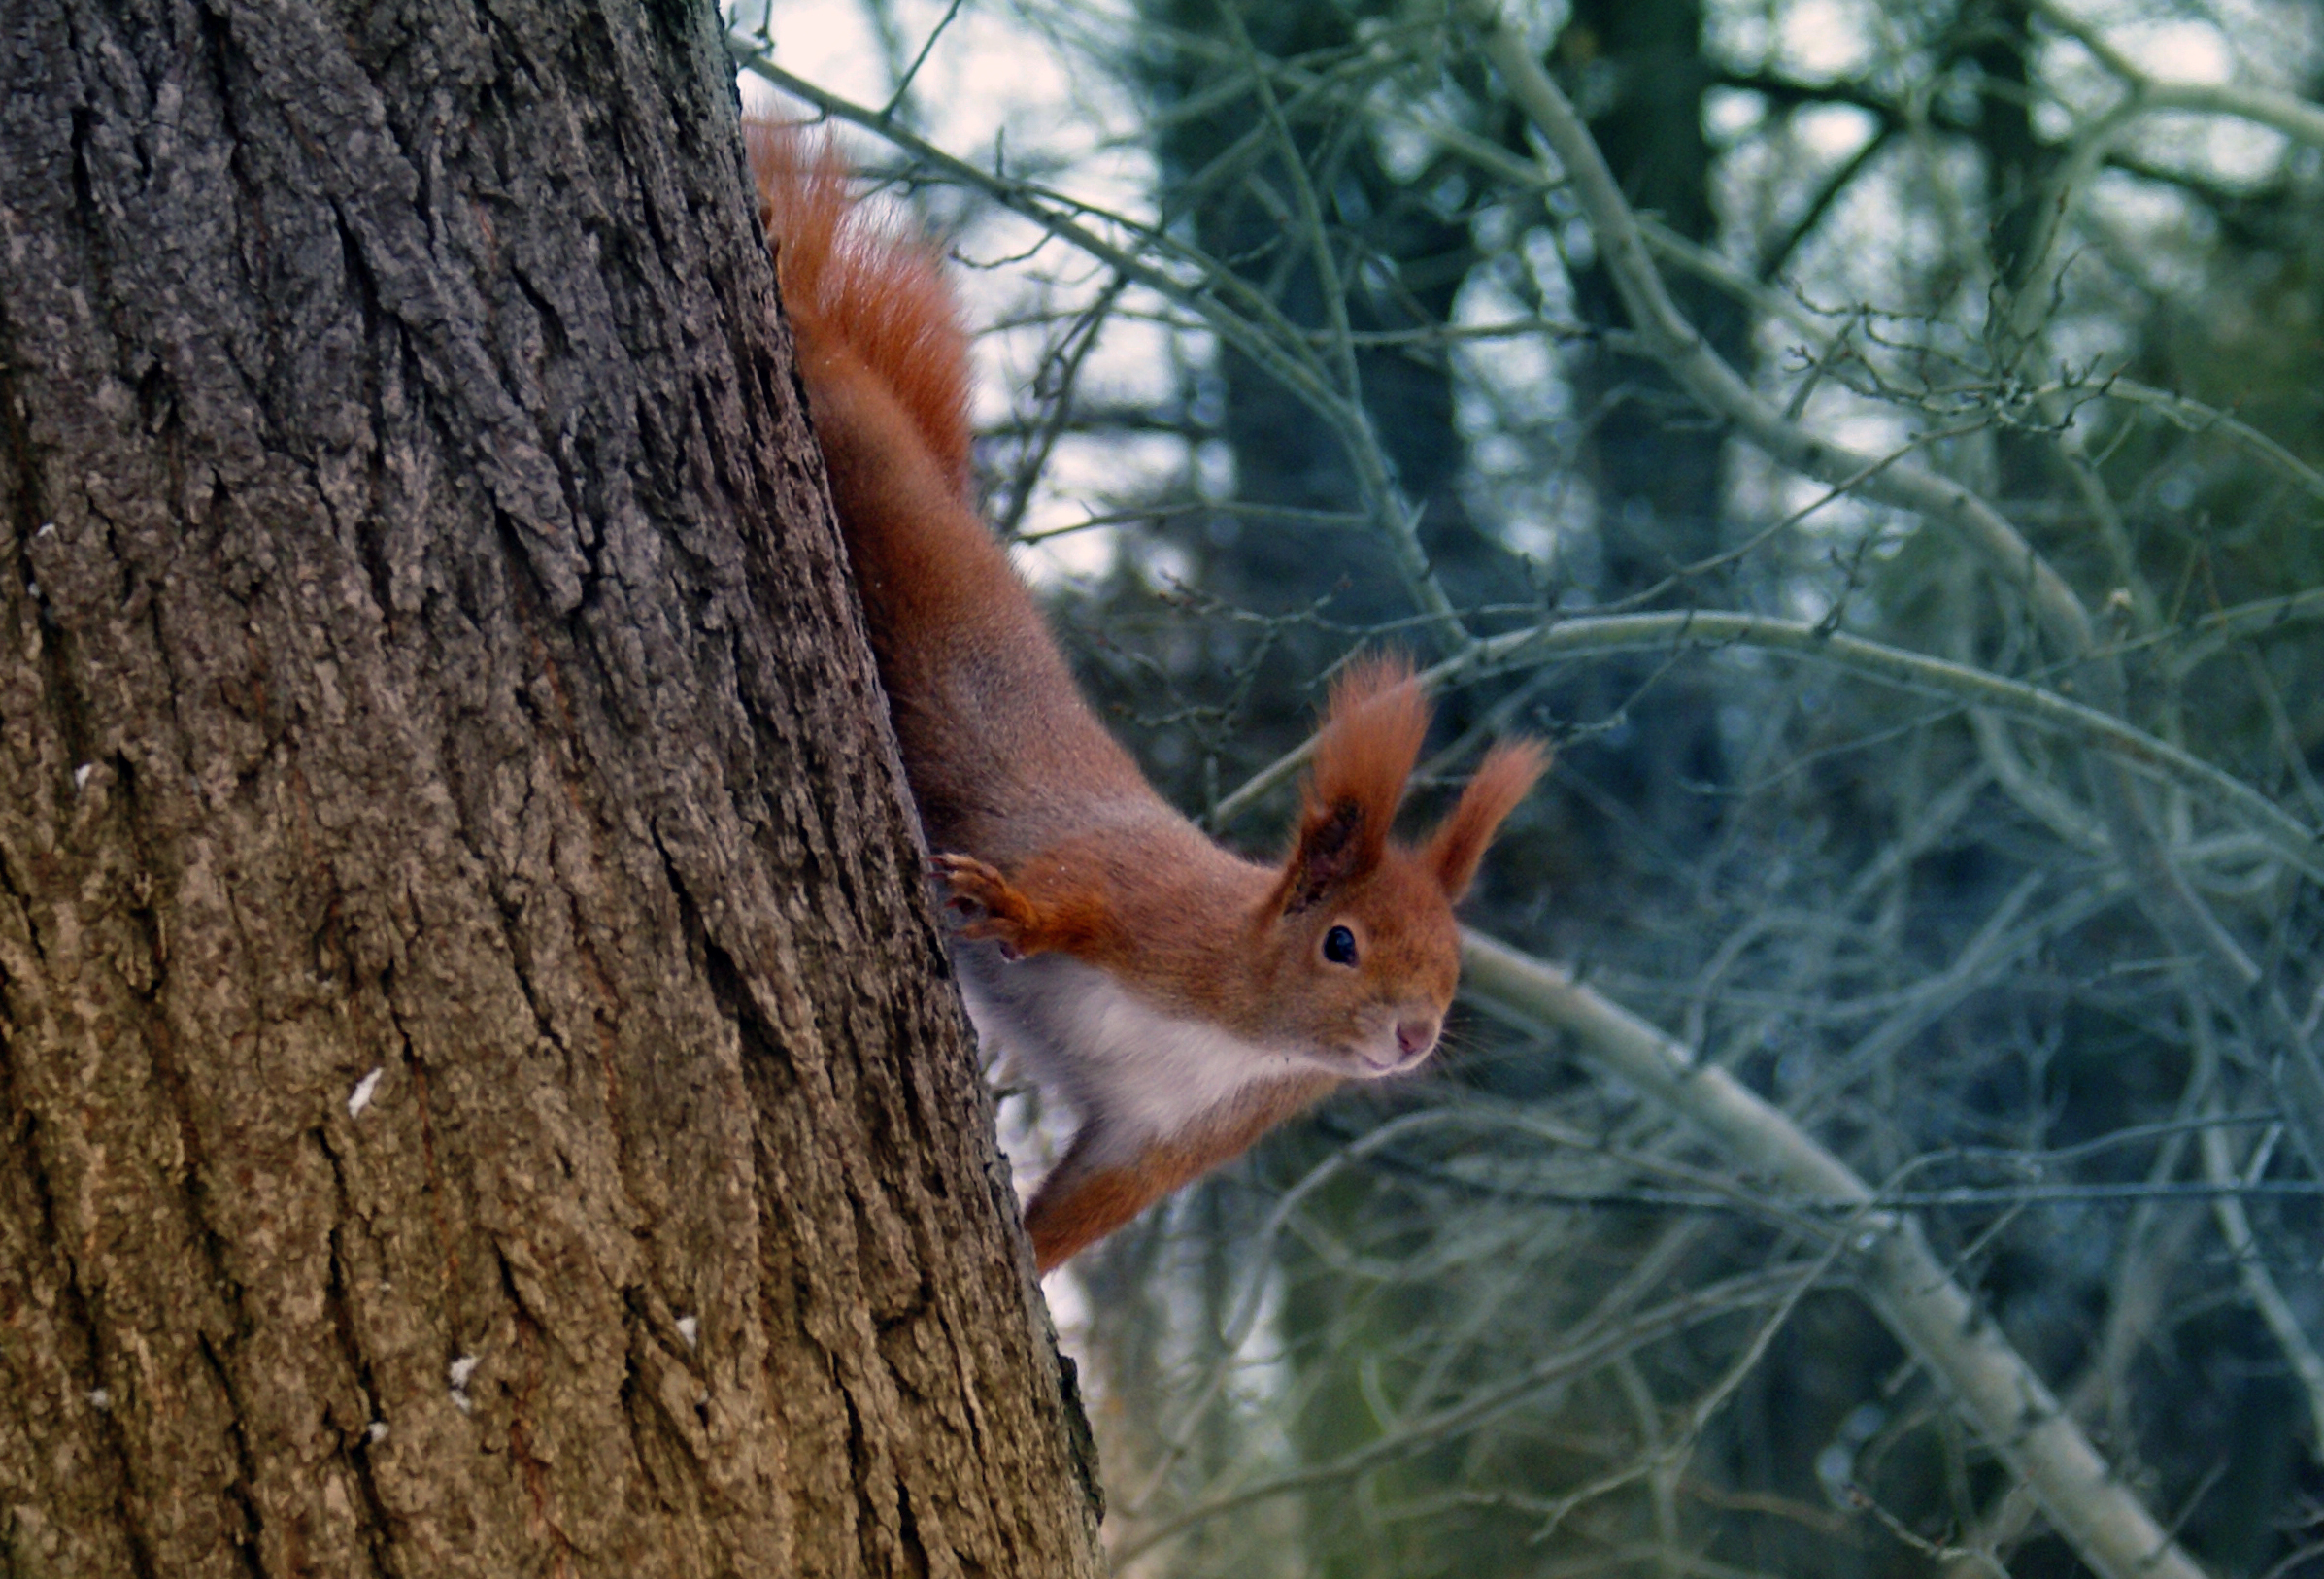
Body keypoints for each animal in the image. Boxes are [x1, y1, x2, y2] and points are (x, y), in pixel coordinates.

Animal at [748, 129, 1542, 1274]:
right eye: (1340, 943)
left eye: (1453, 962)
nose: (1411, 1038)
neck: (1234, 1033)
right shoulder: (1151, 906)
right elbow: (1070, 891)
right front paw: (1011, 908)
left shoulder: (1164, 1136)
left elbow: (1081, 1211)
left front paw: (1032, 1295)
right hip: (876, 485)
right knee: (836, 391)